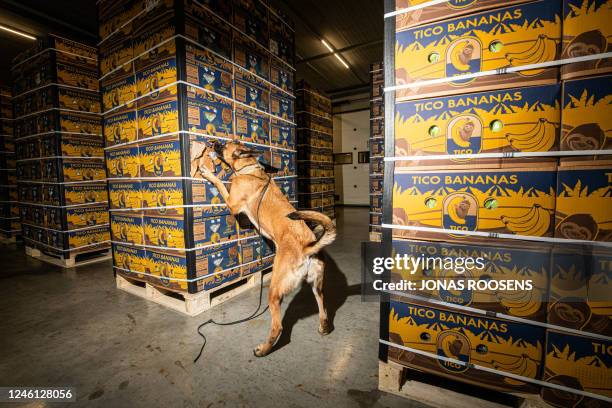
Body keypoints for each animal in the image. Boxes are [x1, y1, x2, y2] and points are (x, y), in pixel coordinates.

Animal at [190, 141, 334, 356]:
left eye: (224, 145)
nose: (212, 143)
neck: (249, 169)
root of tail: (307, 248)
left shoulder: (232, 203)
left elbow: (220, 183)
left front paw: (209, 173)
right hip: (317, 285)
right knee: (323, 307)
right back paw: (324, 327)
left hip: (274, 290)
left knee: (278, 326)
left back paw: (263, 349)